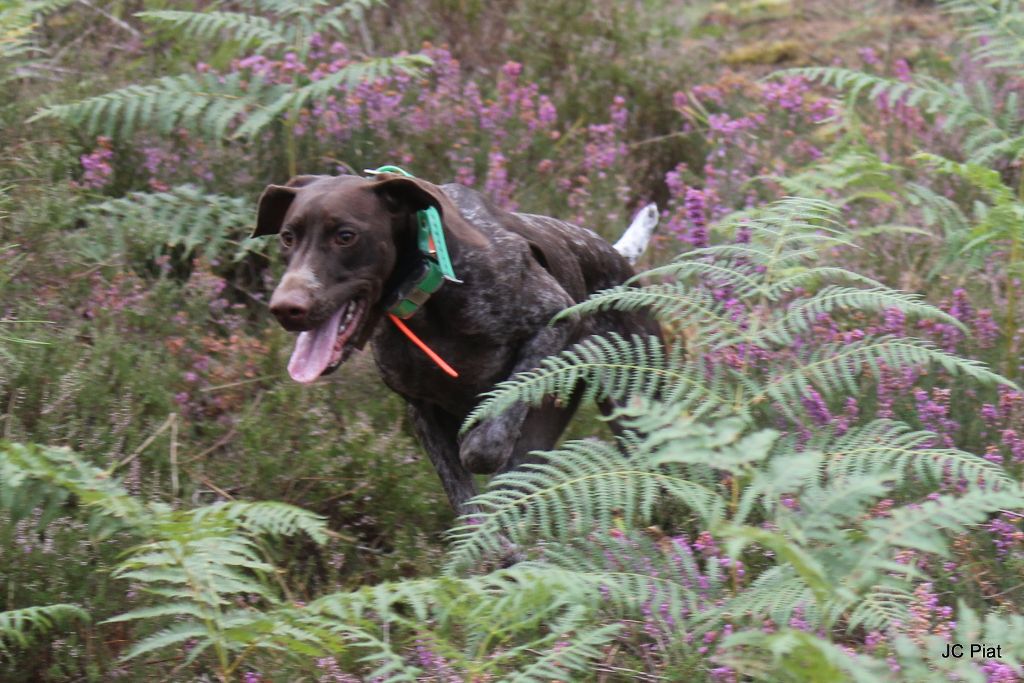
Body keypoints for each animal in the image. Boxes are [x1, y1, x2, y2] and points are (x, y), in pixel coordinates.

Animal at [252, 174, 659, 516]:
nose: (286, 309)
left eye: (346, 236)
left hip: (637, 417)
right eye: (288, 237)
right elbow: (466, 503)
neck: (428, 286)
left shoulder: (552, 316)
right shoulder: (422, 410)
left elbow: (485, 443)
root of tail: (616, 256)